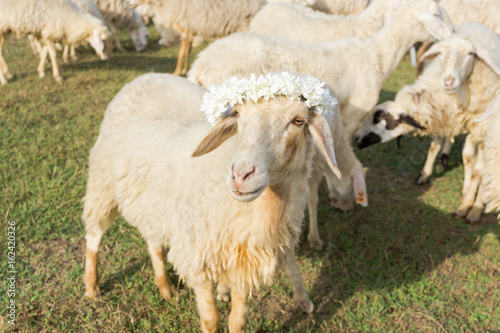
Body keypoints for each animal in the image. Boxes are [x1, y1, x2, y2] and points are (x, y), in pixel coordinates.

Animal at [83, 71, 344, 330]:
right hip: (102, 180)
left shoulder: (242, 263)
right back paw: (91, 286)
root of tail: (147, 76)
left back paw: (164, 286)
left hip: (152, 200)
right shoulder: (197, 258)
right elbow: (211, 319)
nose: (241, 175)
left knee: (152, 239)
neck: (261, 210)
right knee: (95, 233)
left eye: (298, 121)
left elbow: (237, 321)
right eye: (238, 114)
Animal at [133, 0, 266, 75]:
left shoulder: (185, 30)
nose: (129, 3)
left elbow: (181, 53)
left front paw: (176, 72)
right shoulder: (190, 31)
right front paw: (185, 70)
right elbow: (188, 51)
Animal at [352, 23, 500, 222]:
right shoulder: (444, 114)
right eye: (441, 53)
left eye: (380, 118)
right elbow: (437, 147)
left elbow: (481, 170)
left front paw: (473, 208)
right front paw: (426, 174)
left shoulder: (486, 130)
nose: (356, 138)